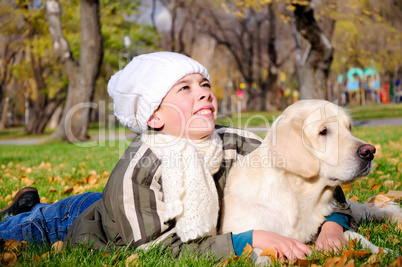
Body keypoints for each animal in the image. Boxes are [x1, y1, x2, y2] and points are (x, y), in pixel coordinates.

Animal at [221, 99, 400, 262]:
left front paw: (386, 253)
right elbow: (260, 253)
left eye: (349, 128)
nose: (370, 151)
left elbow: (354, 236)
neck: (297, 196)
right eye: (324, 131)